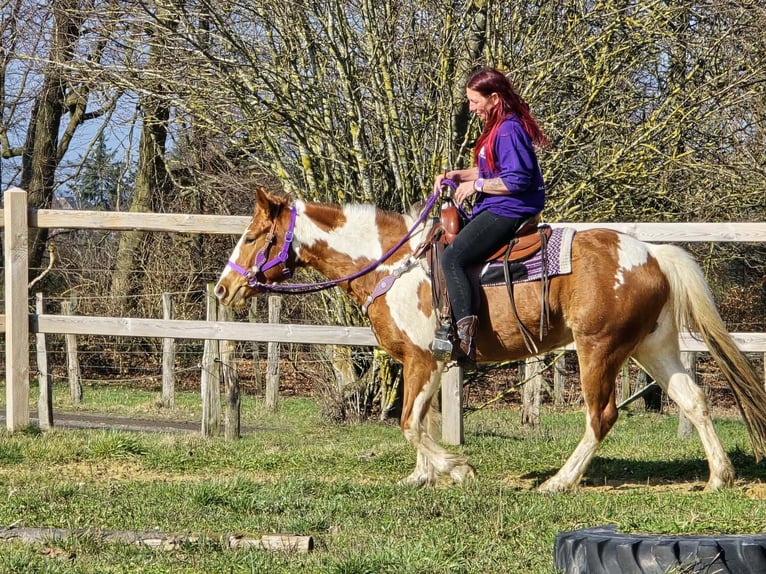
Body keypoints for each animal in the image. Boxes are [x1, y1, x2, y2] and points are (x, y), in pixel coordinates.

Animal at [214, 186, 766, 492]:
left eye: (253, 235)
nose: (224, 288)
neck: (394, 263)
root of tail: (651, 254)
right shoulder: (425, 364)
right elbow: (421, 420)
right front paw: (423, 476)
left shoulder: (423, 359)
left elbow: (410, 423)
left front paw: (455, 470)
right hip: (653, 347)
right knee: (695, 402)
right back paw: (718, 477)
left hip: (599, 349)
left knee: (601, 416)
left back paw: (560, 482)